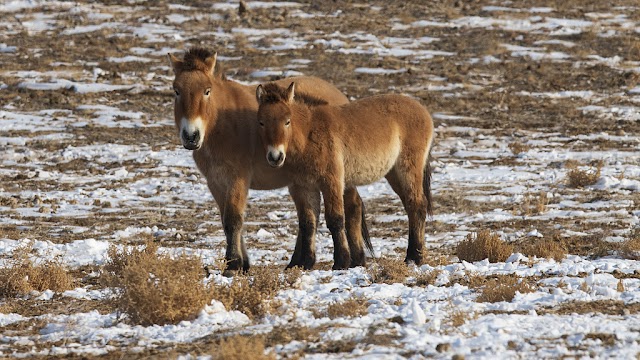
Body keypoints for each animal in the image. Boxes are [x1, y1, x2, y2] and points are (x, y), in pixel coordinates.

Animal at [168, 47, 372, 272]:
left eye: (207, 91)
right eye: (176, 90)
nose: (191, 136)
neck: (222, 124)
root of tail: (339, 96)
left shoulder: (237, 180)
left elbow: (233, 220)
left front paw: (234, 264)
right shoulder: (215, 182)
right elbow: (226, 221)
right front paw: (242, 264)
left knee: (352, 207)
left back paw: (356, 259)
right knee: (311, 216)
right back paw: (299, 262)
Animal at [255, 81, 436, 268]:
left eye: (287, 121)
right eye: (261, 122)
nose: (275, 157)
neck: (308, 135)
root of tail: (422, 110)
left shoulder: (331, 182)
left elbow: (335, 220)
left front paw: (341, 262)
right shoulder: (302, 188)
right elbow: (308, 223)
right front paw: (306, 263)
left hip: (407, 169)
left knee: (417, 205)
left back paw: (414, 257)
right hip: (393, 174)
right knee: (412, 206)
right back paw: (414, 255)